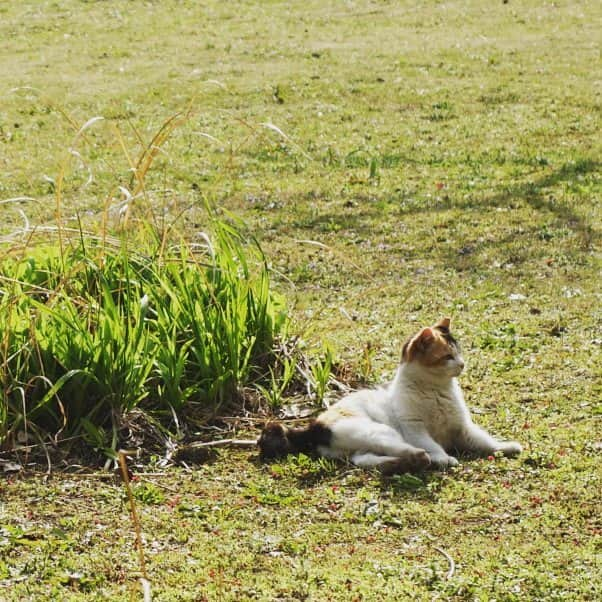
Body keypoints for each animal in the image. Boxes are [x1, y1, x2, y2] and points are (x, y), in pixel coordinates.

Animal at [258, 316, 520, 472]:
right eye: (448, 356)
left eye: (459, 352)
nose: (463, 364)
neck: (437, 391)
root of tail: (314, 425)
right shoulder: (415, 430)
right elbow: (434, 445)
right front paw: (444, 457)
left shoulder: (463, 428)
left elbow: (485, 441)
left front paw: (504, 447)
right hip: (382, 431)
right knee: (401, 448)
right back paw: (419, 457)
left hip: (363, 446)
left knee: (365, 460)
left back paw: (406, 462)